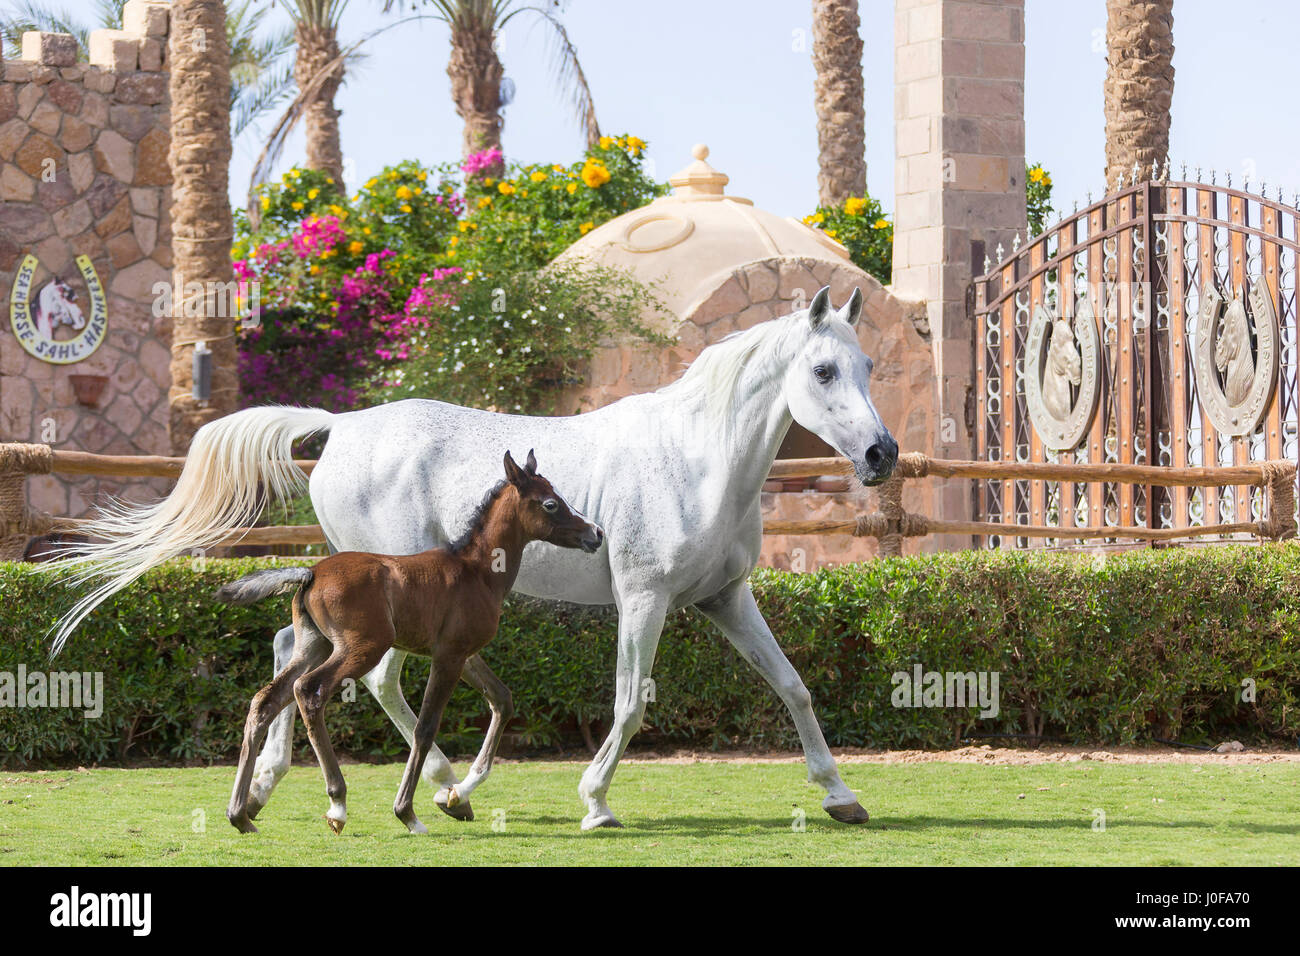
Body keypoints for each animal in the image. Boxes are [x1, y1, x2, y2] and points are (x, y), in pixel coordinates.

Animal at [215, 450, 603, 835]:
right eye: (551, 503)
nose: (596, 533)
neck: (476, 571)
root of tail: (310, 572)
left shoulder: (464, 654)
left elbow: (502, 700)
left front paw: (457, 794)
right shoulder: (448, 656)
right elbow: (425, 726)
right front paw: (408, 812)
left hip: (314, 646)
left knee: (265, 700)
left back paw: (240, 813)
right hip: (362, 648)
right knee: (309, 691)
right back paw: (337, 804)